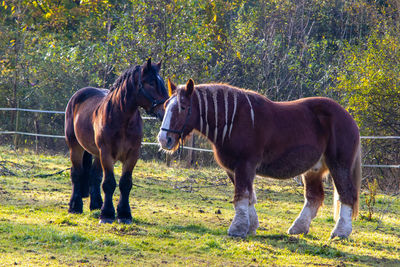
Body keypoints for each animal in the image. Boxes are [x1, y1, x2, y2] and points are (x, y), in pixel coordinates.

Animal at [65, 58, 168, 224]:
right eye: (151, 82)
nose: (165, 110)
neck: (122, 119)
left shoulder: (133, 155)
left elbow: (125, 183)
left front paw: (124, 214)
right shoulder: (106, 154)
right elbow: (109, 183)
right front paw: (107, 214)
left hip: (96, 153)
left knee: (94, 176)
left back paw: (96, 205)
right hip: (75, 147)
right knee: (77, 173)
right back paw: (75, 206)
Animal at [159, 79, 362, 239]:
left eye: (183, 107)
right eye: (166, 106)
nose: (163, 139)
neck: (233, 121)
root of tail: (349, 118)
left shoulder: (245, 164)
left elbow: (241, 195)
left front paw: (237, 229)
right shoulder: (233, 168)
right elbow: (249, 196)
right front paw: (251, 226)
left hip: (339, 165)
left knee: (347, 195)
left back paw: (340, 232)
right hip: (313, 169)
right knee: (314, 197)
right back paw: (298, 228)